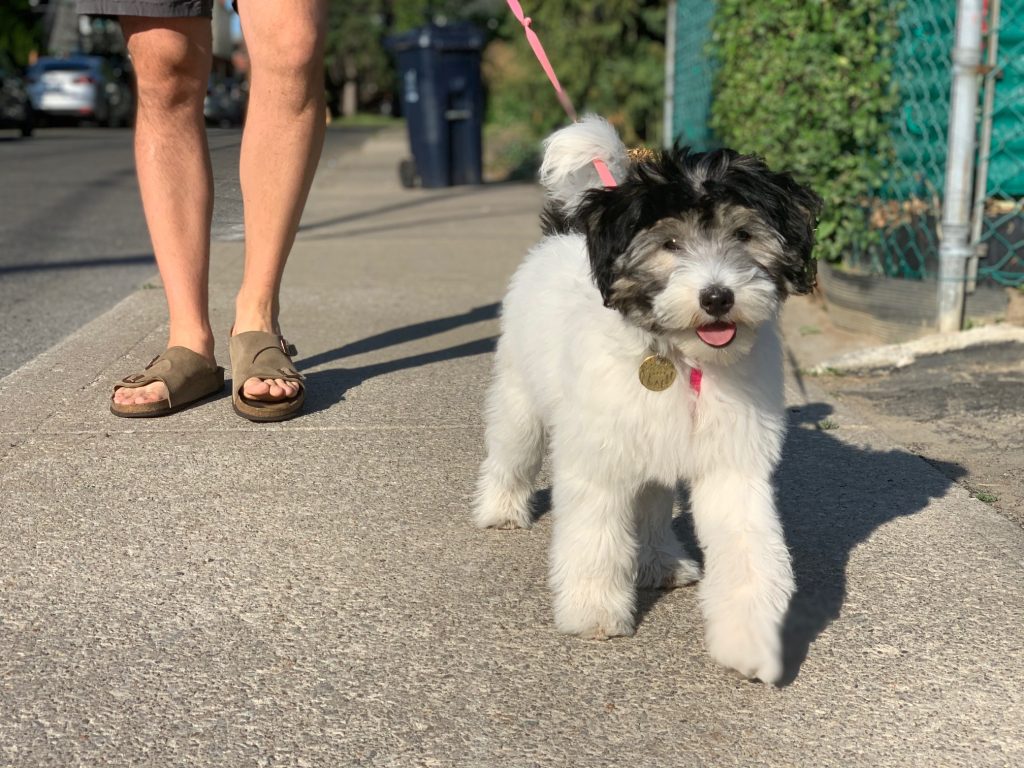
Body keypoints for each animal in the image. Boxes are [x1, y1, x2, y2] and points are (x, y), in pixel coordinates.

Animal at [473, 115, 823, 684]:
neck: (680, 359)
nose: (717, 297)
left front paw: (752, 640)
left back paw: (660, 561)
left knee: (653, 503)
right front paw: (594, 611)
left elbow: (750, 548)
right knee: (513, 450)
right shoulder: (599, 456)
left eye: (743, 235)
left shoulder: (734, 463)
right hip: (519, 394)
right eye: (671, 243)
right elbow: (595, 536)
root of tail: (565, 232)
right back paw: (501, 508)